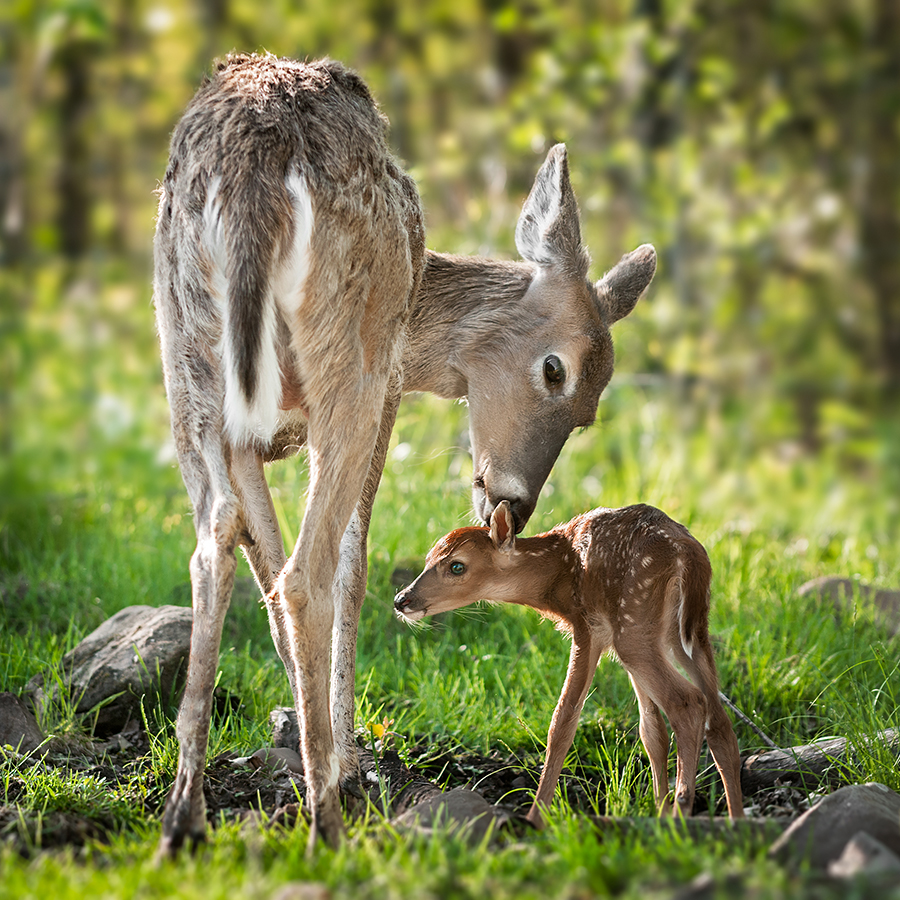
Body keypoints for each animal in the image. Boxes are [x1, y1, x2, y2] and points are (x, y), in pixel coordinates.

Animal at [155, 52, 652, 856]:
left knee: (215, 545)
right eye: (557, 371)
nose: (513, 502)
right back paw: (326, 820)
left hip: (186, 352)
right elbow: (352, 563)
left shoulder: (249, 437)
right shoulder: (388, 386)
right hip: (350, 359)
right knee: (308, 570)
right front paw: (343, 759)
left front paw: (306, 737)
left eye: (591, 413)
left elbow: (256, 558)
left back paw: (183, 818)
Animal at [396, 502, 744, 828]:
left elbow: (563, 720)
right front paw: (657, 808)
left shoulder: (588, 626)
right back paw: (734, 819)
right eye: (428, 558)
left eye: (456, 566)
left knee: (687, 703)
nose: (402, 599)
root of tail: (688, 554)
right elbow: (651, 731)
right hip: (686, 631)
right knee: (718, 721)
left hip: (634, 623)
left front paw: (536, 818)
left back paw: (681, 813)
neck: (556, 579)